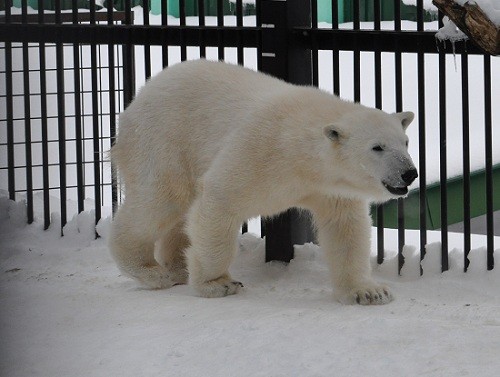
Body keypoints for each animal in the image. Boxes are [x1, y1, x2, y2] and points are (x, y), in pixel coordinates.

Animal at [110, 59, 418, 306]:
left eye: (405, 142)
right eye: (377, 147)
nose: (409, 173)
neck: (299, 151)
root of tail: (140, 96)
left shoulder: (331, 187)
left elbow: (345, 228)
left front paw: (368, 292)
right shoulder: (259, 150)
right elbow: (220, 198)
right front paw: (217, 283)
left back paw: (178, 266)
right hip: (164, 141)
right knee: (160, 201)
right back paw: (150, 270)